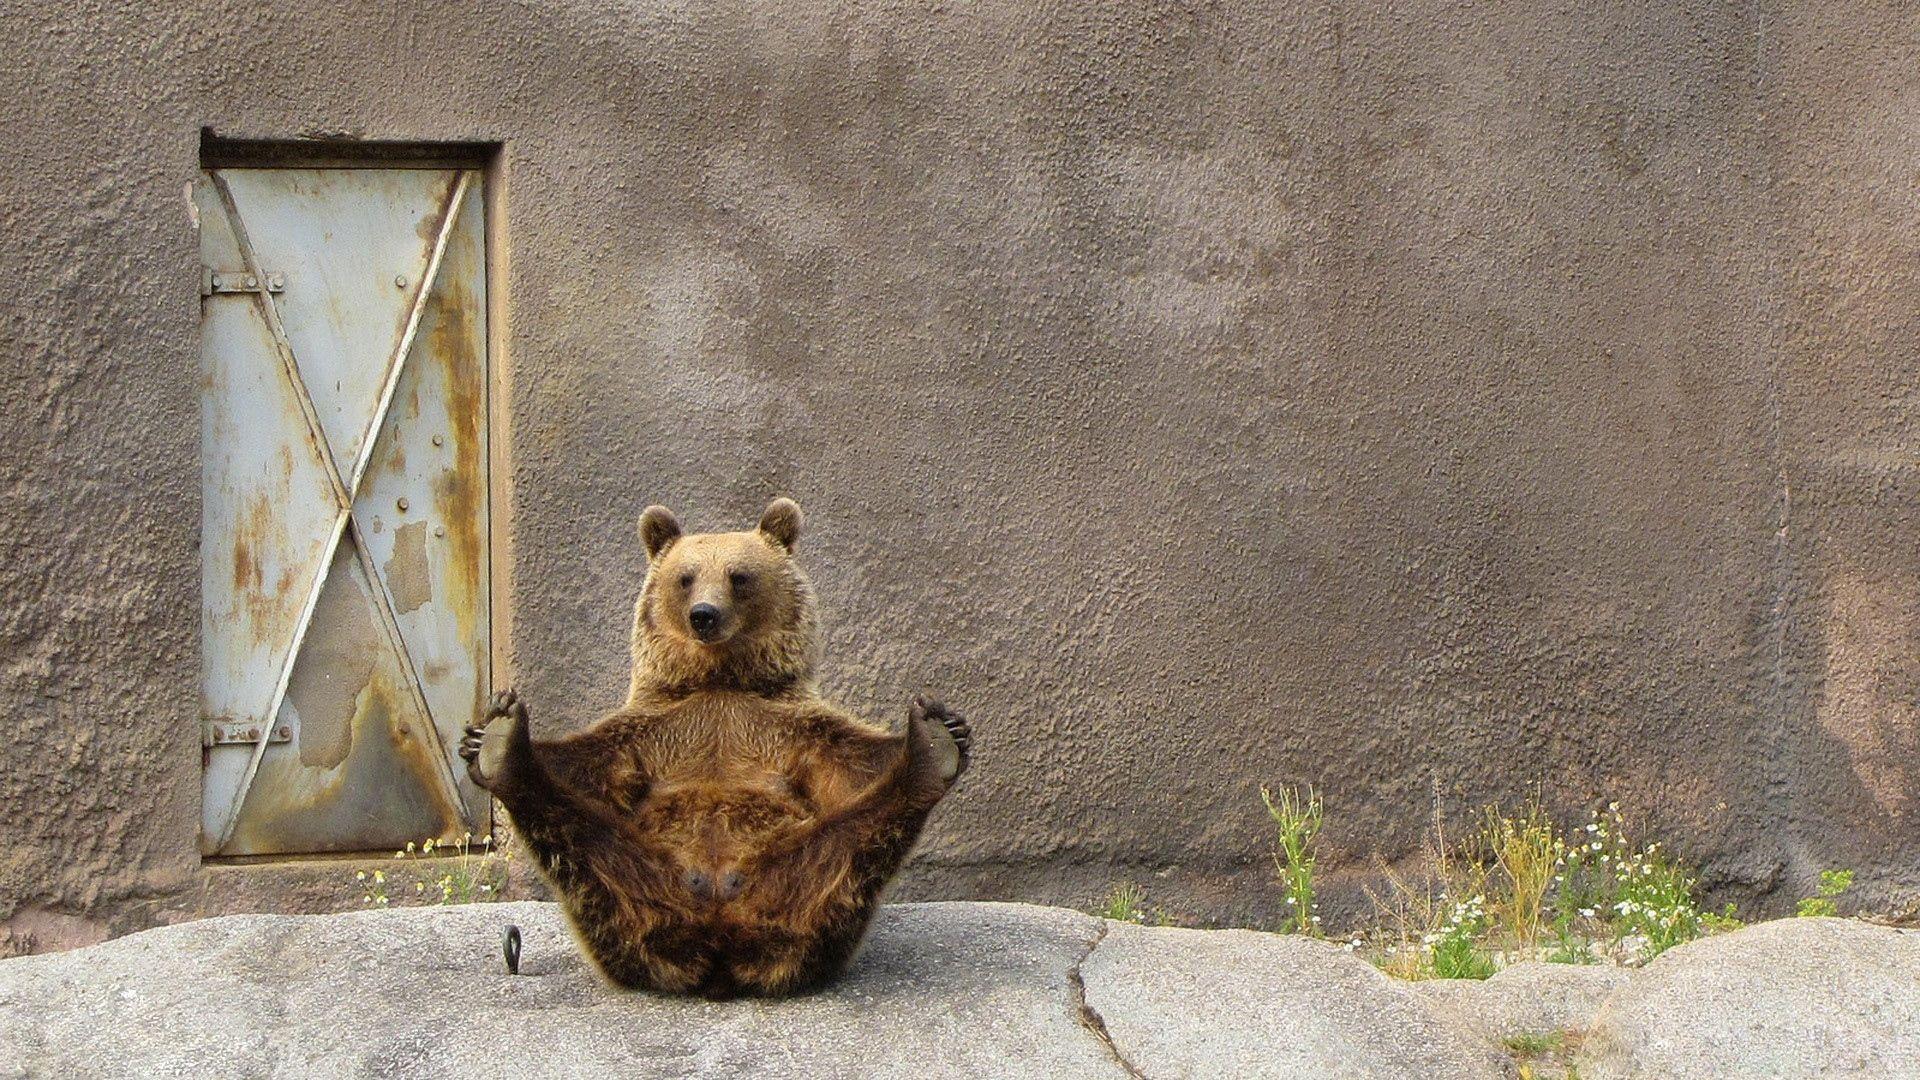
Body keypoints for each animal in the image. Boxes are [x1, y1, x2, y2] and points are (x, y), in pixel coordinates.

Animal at [458, 497, 971, 998]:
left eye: (738, 576)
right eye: (686, 577)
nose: (704, 614)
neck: (719, 679)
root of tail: (720, 945)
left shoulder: (787, 727)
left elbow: (852, 762)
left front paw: (947, 726)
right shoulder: (654, 730)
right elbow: (586, 764)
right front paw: (480, 735)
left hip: (796, 880)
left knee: (851, 846)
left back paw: (931, 752)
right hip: (632, 890)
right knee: (582, 840)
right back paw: (505, 749)